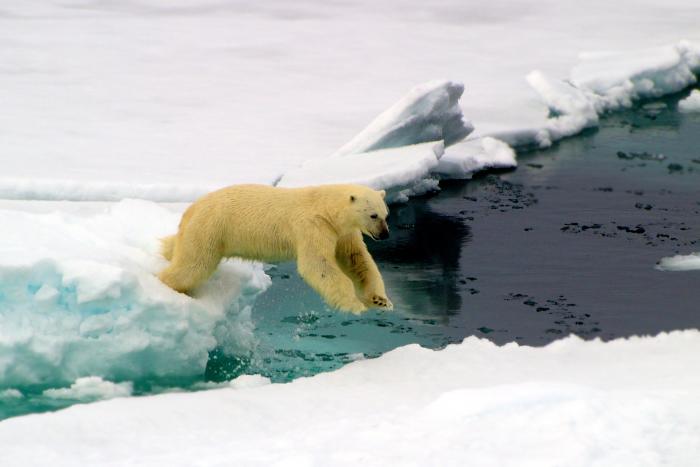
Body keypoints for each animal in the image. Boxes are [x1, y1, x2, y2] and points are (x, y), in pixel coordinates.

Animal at [159, 185, 396, 312]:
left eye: (386, 214)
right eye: (373, 215)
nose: (385, 234)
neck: (325, 207)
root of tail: (191, 208)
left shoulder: (343, 233)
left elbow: (357, 261)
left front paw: (381, 300)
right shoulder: (312, 226)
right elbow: (318, 265)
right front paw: (355, 305)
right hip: (211, 228)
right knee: (194, 264)